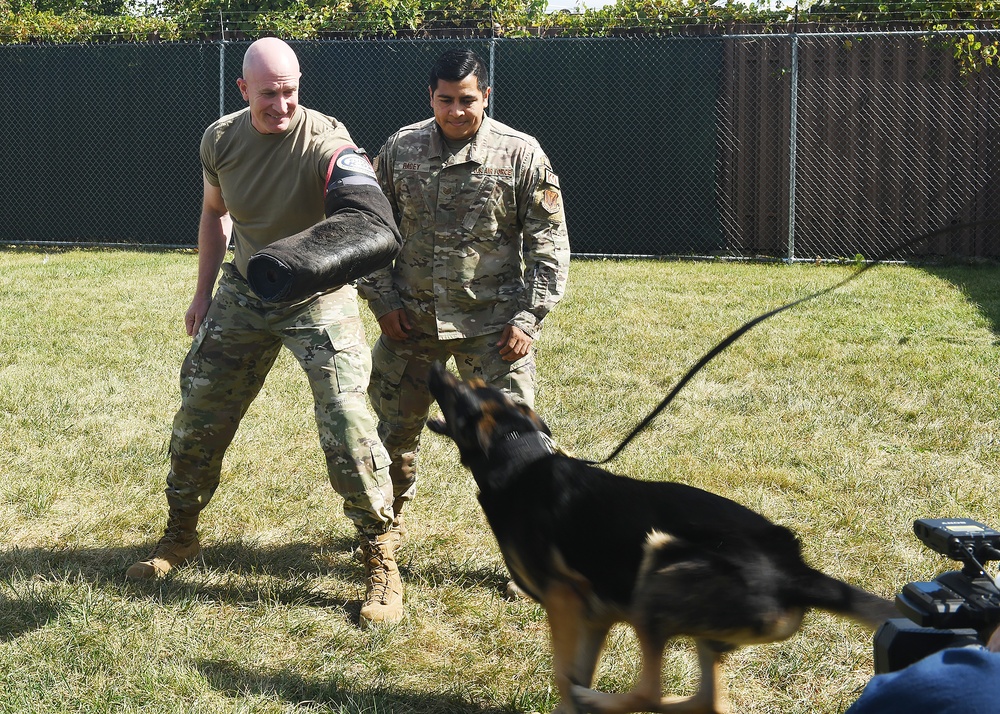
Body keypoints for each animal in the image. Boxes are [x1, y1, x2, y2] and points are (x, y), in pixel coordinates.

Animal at [426, 364, 896, 712]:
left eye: (465, 387)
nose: (434, 366)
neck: (518, 460)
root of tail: (795, 571)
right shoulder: (594, 616)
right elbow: (575, 672)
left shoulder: (564, 600)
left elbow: (563, 676)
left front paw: (576, 696)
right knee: (706, 702)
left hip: (657, 572)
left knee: (650, 693)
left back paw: (598, 700)